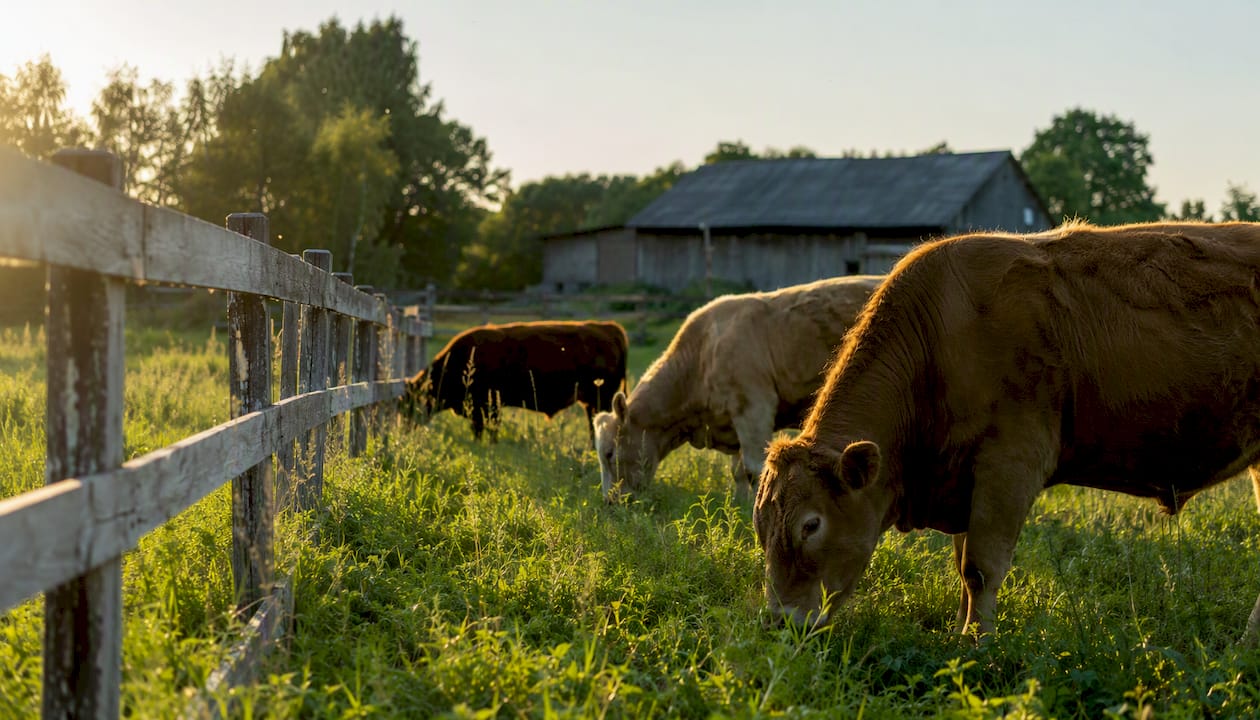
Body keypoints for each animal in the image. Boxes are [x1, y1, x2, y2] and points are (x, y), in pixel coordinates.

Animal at [403, 320, 628, 445]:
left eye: (409, 403)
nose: (404, 427)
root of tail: (609, 328)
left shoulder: (488, 407)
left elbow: (486, 429)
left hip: (600, 400)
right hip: (592, 403)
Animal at [593, 275, 883, 503]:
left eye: (608, 453)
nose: (609, 501)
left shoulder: (753, 408)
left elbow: (756, 468)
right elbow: (739, 471)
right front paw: (739, 505)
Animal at [754, 221, 1260, 641]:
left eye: (811, 525)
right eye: (760, 525)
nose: (781, 622)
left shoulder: (1010, 462)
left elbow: (980, 567)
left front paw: (978, 644)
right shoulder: (965, 478)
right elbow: (962, 565)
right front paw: (960, 632)